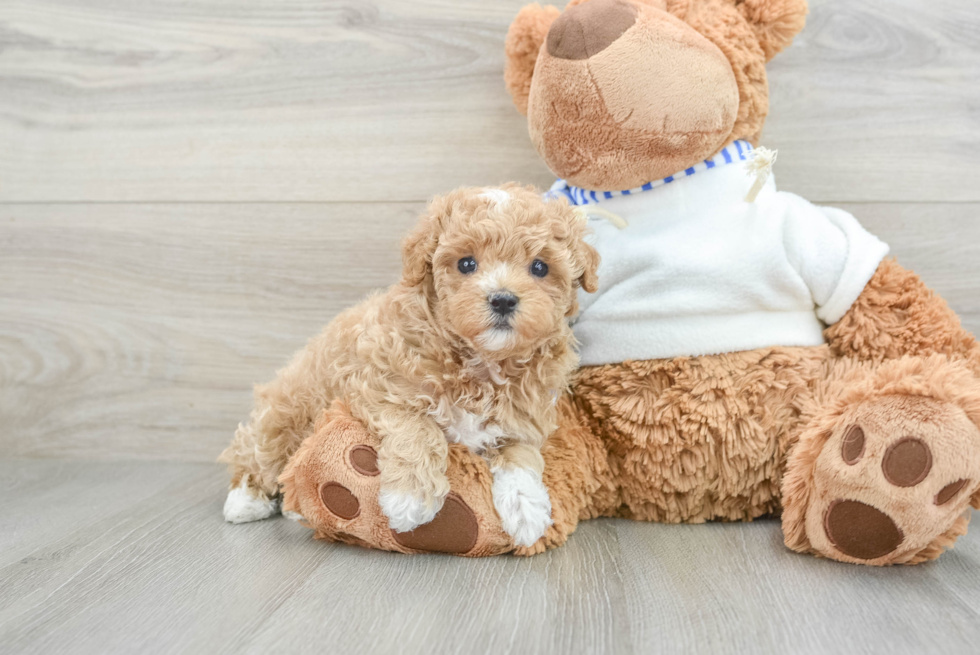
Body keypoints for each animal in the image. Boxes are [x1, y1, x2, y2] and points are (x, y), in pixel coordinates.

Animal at [219, 186, 600, 548]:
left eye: (540, 267)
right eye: (466, 264)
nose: (503, 299)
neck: (480, 362)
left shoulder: (522, 417)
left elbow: (521, 454)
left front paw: (527, 508)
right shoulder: (378, 384)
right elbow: (417, 426)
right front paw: (411, 496)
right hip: (287, 413)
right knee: (256, 453)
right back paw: (246, 499)